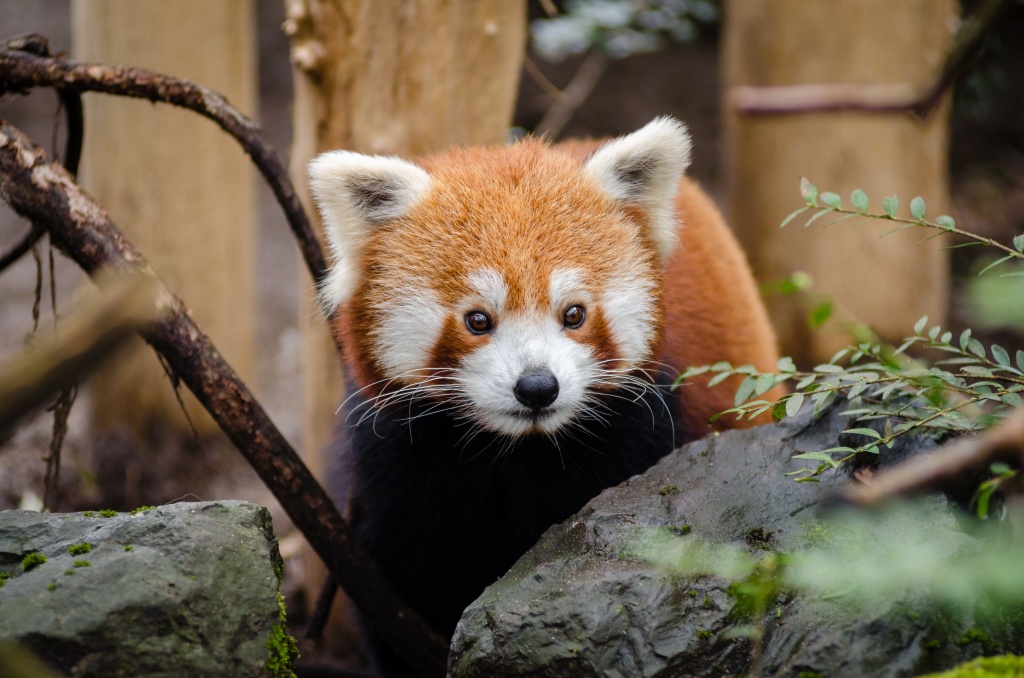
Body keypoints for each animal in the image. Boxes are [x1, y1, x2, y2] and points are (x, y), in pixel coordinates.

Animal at [307, 118, 778, 675]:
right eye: (478, 320)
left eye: (573, 314)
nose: (537, 386)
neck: (515, 451)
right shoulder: (400, 463)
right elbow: (406, 579)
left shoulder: (639, 431)